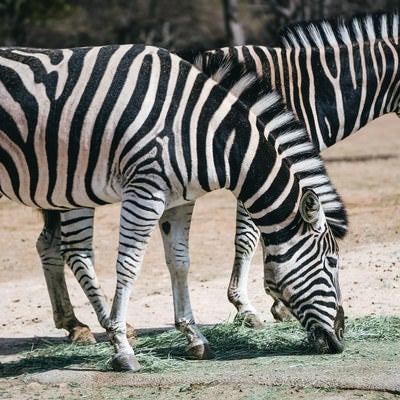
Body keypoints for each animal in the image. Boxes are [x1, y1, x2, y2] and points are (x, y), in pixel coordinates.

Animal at [0, 43, 344, 368]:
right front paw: (122, 349)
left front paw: (194, 337)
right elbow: (129, 265)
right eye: (332, 262)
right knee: (77, 252)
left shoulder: (179, 200)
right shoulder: (145, 191)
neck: (204, 132)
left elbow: (180, 262)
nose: (341, 337)